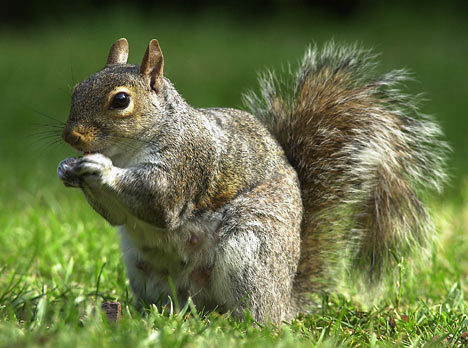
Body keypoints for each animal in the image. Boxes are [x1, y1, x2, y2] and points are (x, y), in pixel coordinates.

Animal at [56, 39, 448, 324]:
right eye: (75, 89)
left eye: (121, 100)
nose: (70, 137)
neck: (128, 151)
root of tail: (286, 300)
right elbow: (118, 216)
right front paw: (66, 168)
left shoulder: (187, 162)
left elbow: (159, 202)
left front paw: (99, 167)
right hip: (144, 269)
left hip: (250, 250)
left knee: (258, 314)